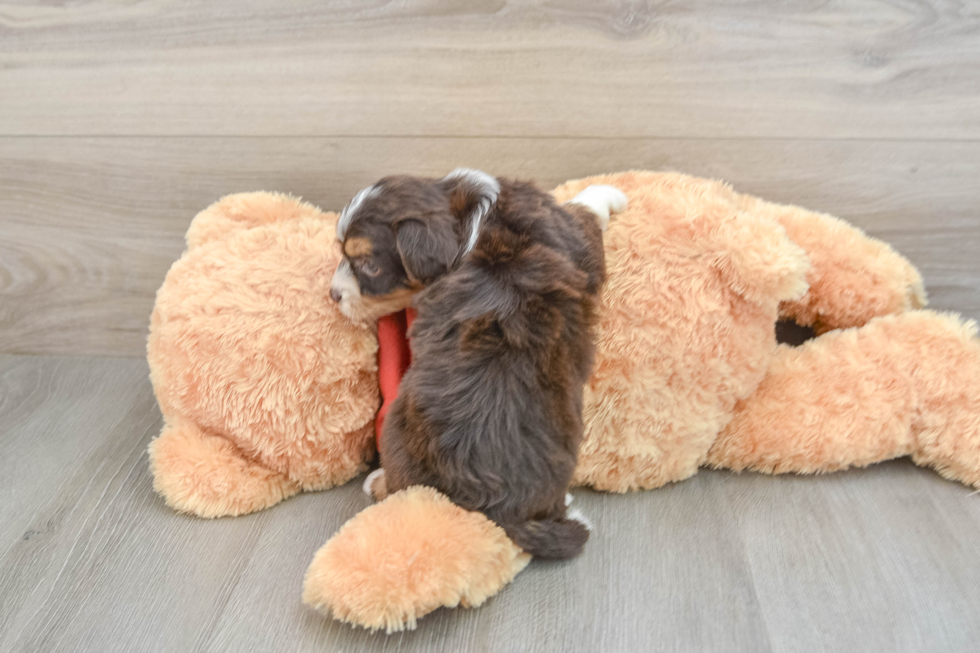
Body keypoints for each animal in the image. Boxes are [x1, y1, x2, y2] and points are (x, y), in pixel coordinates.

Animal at [332, 169, 628, 560]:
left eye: (369, 265)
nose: (332, 294)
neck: (470, 218)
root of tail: (498, 506)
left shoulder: (569, 228)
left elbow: (585, 207)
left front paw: (609, 191)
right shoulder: (571, 233)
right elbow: (584, 212)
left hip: (395, 427)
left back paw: (377, 481)